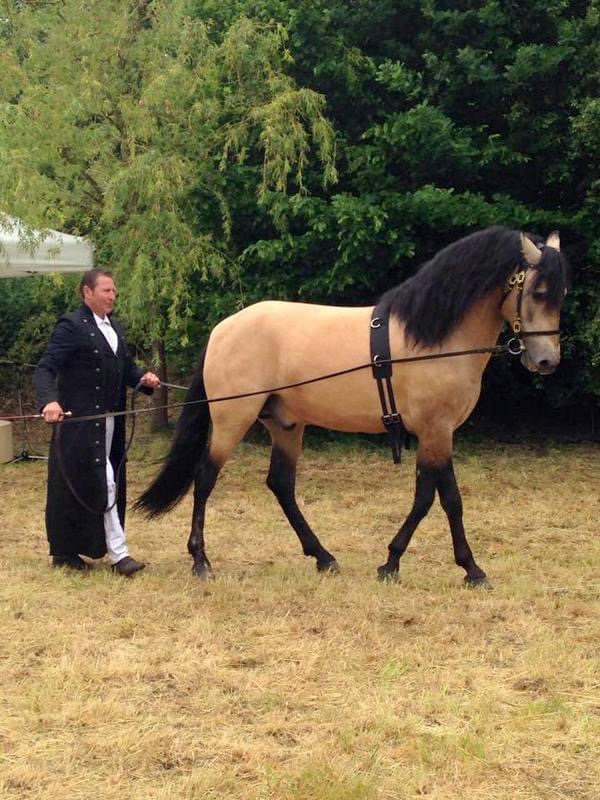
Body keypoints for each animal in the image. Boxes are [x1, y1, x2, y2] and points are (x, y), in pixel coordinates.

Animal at [135, 226, 569, 586]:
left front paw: (392, 562)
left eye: (560, 295)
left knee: (281, 484)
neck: (435, 340)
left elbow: (424, 497)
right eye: (538, 292)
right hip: (232, 420)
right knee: (205, 478)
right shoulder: (437, 430)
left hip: (285, 425)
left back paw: (322, 556)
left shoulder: (431, 434)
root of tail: (223, 329)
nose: (547, 361)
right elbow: (448, 500)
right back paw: (201, 561)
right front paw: (470, 569)